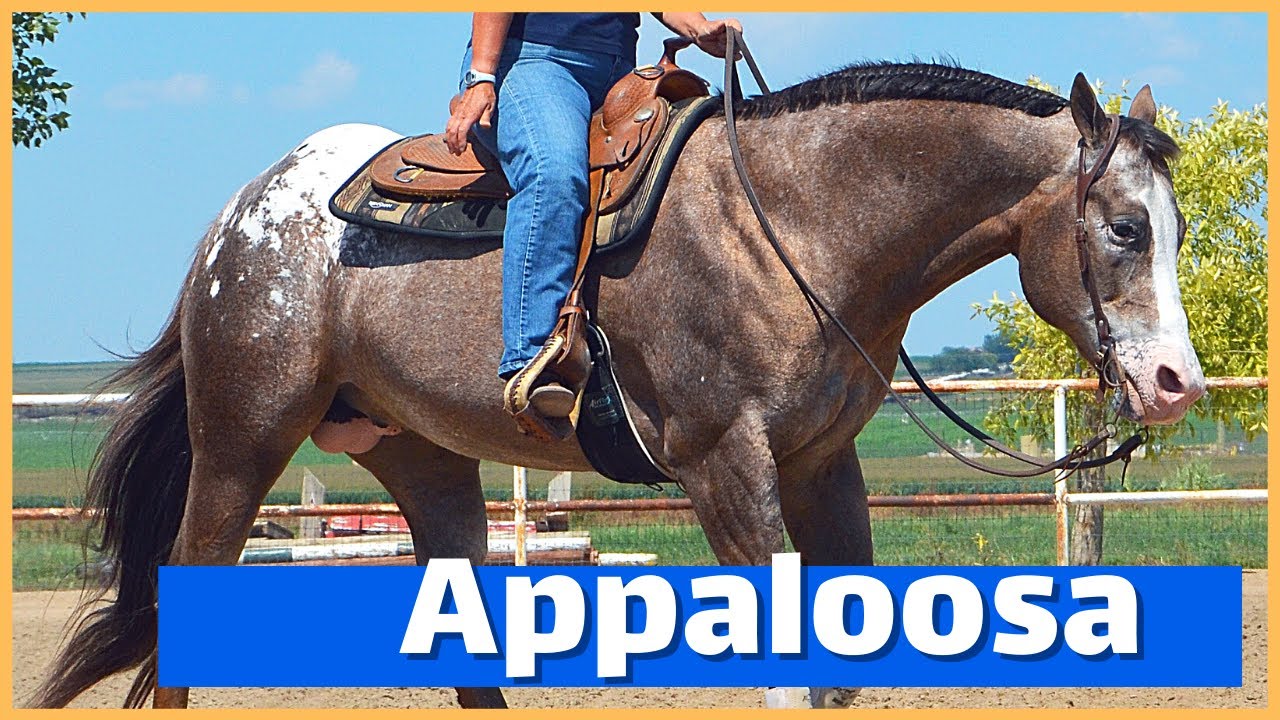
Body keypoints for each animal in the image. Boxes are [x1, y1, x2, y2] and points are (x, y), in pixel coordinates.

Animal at [31, 63, 1205, 709]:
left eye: (1178, 225)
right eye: (1123, 227)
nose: (1174, 382)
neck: (792, 226)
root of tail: (246, 211)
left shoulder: (821, 467)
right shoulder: (722, 466)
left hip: (422, 460)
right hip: (240, 443)